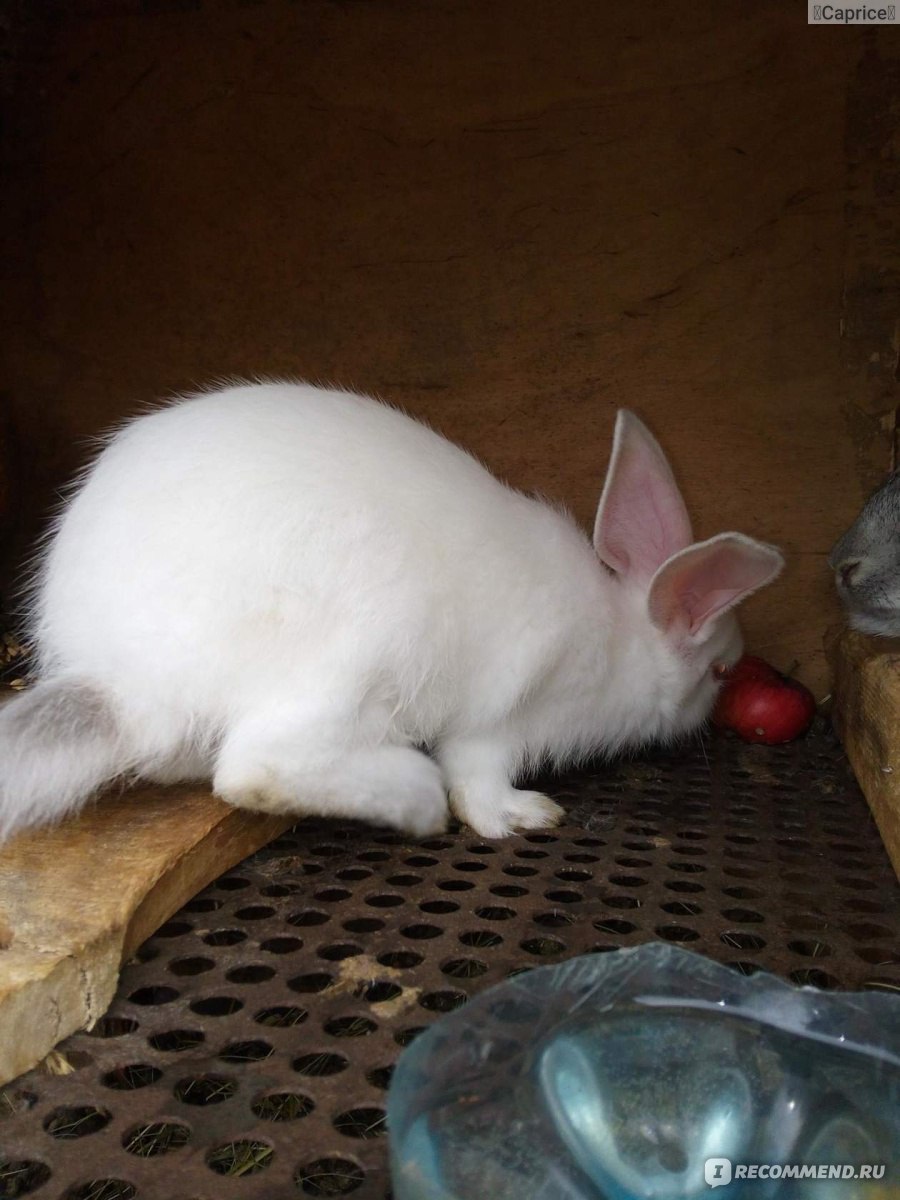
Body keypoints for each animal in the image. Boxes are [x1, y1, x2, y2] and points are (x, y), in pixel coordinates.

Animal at [0, 379, 782, 840]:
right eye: (719, 673)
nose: (721, 701)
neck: (621, 640)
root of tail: (121, 682)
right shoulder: (504, 722)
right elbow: (477, 781)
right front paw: (522, 817)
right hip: (361, 656)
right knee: (257, 769)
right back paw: (416, 801)